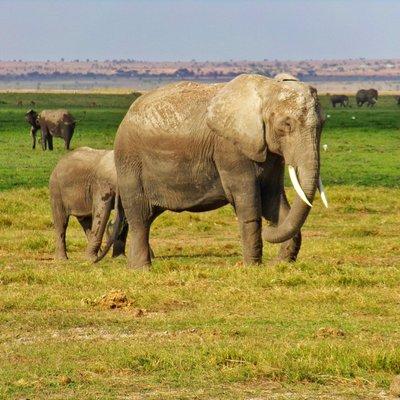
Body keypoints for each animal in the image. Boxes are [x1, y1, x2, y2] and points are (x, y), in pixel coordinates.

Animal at [97, 74, 328, 268]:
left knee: (149, 215)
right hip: (129, 161)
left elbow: (274, 201)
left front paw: (281, 264)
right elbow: (248, 202)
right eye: (286, 125)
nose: (270, 229)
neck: (267, 88)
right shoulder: (230, 150)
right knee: (139, 215)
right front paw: (253, 267)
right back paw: (142, 269)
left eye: (324, 124)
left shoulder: (268, 152)